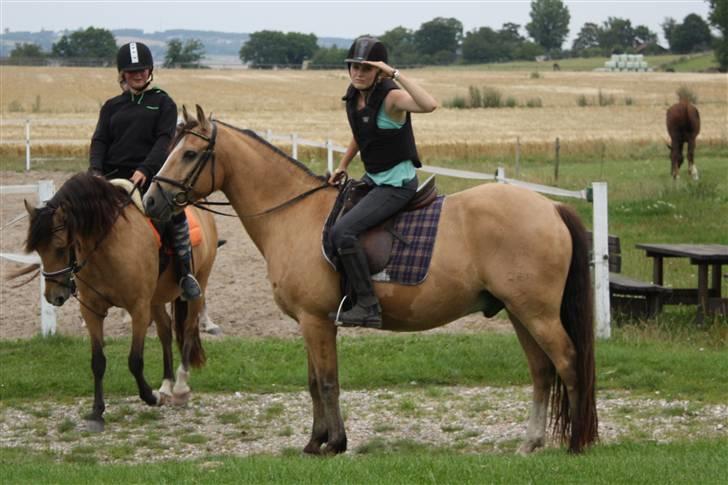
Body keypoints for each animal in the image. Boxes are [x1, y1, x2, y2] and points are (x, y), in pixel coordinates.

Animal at [16, 174, 216, 432]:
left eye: (60, 246)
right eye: (39, 250)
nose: (54, 296)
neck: (108, 248)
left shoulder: (138, 309)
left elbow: (135, 361)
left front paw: (150, 397)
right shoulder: (92, 311)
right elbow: (98, 362)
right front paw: (97, 412)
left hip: (198, 286)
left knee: (189, 329)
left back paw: (179, 388)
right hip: (156, 299)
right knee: (165, 331)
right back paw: (166, 385)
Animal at [145, 105, 600, 454]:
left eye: (189, 153)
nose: (150, 200)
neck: (293, 213)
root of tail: (550, 207)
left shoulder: (317, 321)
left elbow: (328, 382)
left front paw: (334, 443)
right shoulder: (309, 323)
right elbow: (313, 383)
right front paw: (315, 442)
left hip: (537, 314)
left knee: (568, 362)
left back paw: (576, 443)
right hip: (521, 313)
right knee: (542, 372)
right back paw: (531, 443)